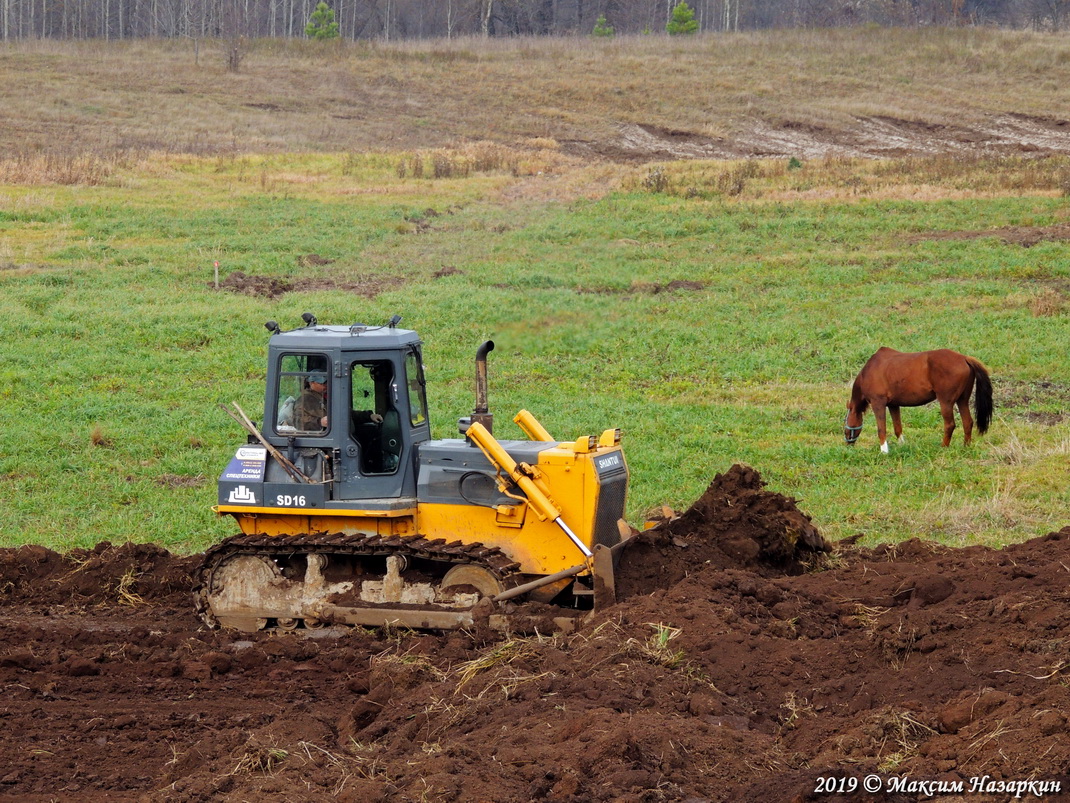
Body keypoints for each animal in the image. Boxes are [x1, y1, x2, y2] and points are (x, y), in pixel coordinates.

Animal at [843, 349, 992, 456]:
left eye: (845, 423)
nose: (848, 444)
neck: (870, 370)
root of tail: (964, 358)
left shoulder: (878, 403)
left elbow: (881, 429)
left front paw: (884, 451)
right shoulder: (893, 405)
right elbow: (897, 427)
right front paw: (902, 445)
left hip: (946, 402)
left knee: (950, 425)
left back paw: (943, 447)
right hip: (962, 400)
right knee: (968, 422)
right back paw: (966, 446)